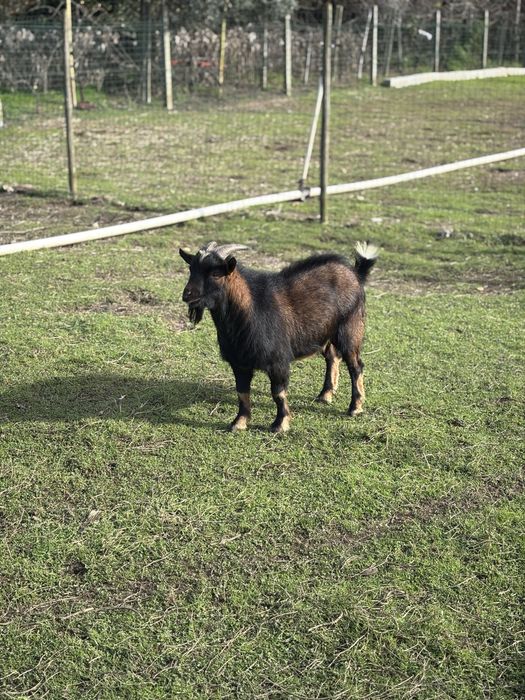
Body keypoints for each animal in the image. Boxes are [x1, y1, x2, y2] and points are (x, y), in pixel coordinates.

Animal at [179, 241, 378, 432]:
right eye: (191, 269)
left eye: (215, 273)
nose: (187, 294)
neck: (248, 310)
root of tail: (355, 273)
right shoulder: (239, 362)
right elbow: (242, 392)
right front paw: (239, 422)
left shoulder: (278, 361)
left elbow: (278, 393)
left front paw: (280, 424)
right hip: (325, 333)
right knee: (332, 357)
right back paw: (325, 395)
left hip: (350, 329)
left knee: (355, 365)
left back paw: (355, 407)